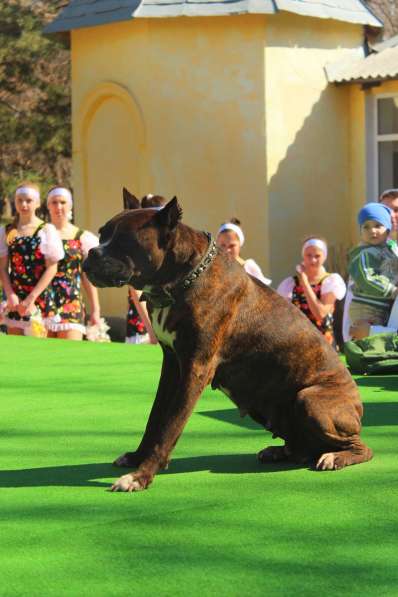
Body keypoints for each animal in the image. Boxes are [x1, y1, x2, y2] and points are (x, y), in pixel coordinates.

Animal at [84, 189, 374, 492]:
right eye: (102, 234)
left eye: (124, 240)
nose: (91, 252)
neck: (181, 280)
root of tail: (358, 408)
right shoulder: (172, 366)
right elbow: (156, 418)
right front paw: (136, 457)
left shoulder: (195, 369)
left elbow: (169, 427)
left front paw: (141, 476)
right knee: (303, 448)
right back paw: (281, 451)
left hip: (310, 399)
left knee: (360, 447)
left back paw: (335, 457)